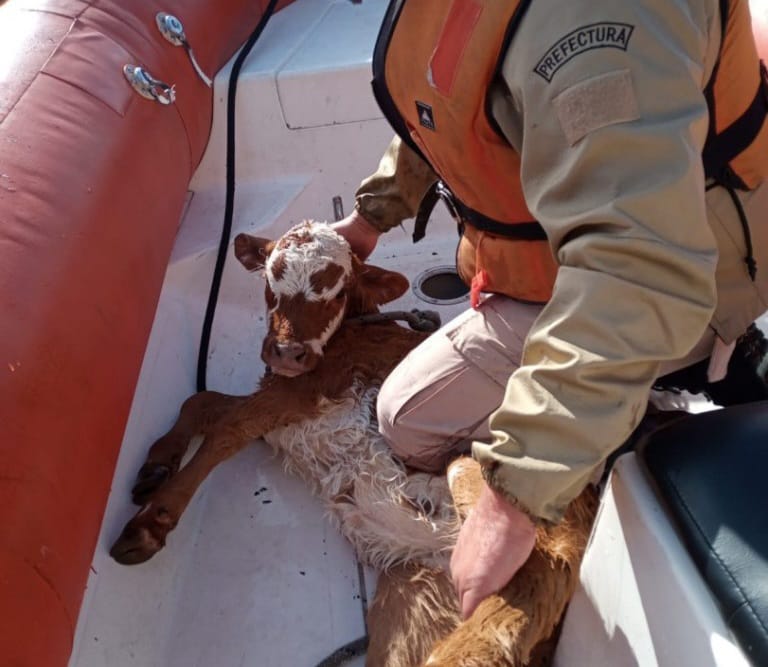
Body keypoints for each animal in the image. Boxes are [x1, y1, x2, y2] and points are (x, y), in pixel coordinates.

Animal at [111, 220, 596, 667]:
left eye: (338, 292)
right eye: (270, 283)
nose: (287, 352)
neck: (351, 334)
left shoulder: (299, 394)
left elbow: (225, 430)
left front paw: (150, 522)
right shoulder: (282, 402)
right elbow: (203, 401)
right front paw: (156, 466)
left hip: (497, 520)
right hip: (414, 600)